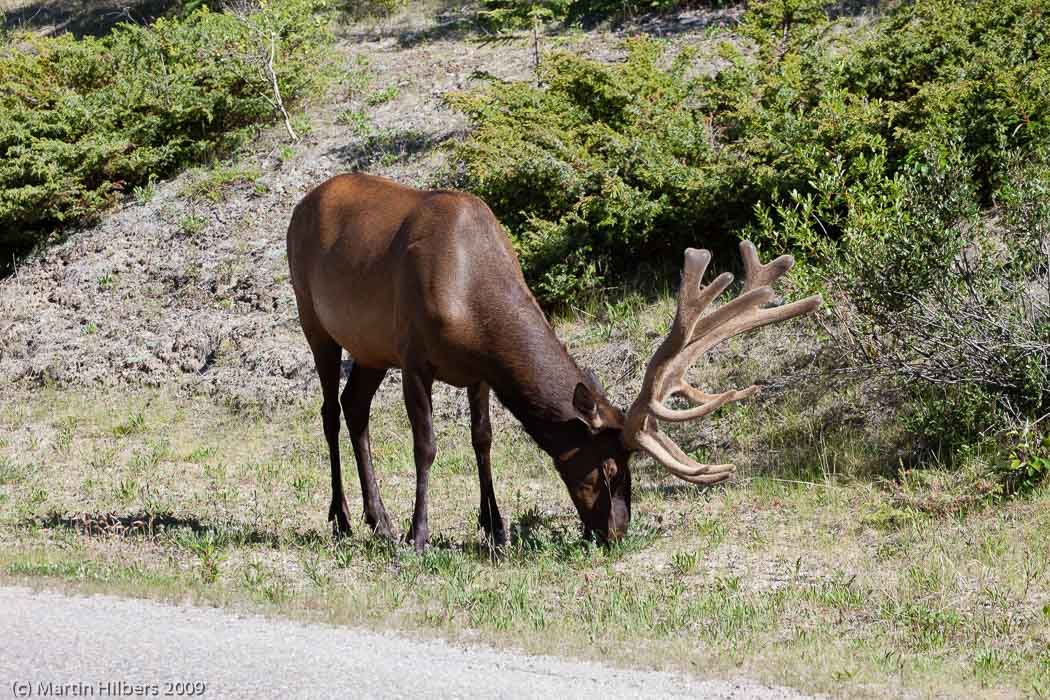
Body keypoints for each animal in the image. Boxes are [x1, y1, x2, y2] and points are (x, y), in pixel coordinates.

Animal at [287, 173, 821, 552]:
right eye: (609, 467)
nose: (616, 531)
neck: (474, 305)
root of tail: (301, 203)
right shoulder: (414, 355)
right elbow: (427, 446)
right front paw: (419, 536)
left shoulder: (479, 372)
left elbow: (483, 440)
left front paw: (495, 528)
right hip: (314, 319)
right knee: (330, 412)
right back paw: (343, 520)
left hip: (370, 349)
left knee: (355, 408)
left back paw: (379, 520)